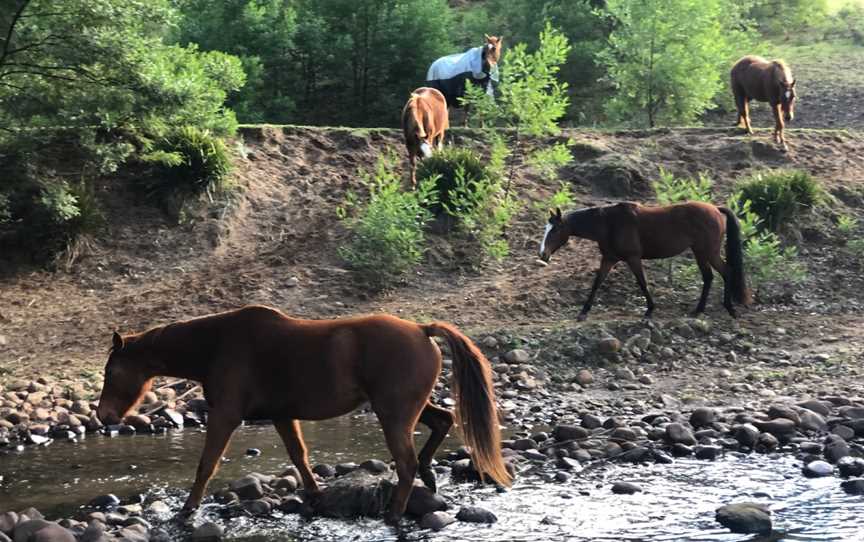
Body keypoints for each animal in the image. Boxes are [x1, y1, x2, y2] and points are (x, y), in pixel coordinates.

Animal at [97, 306, 510, 524]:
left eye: (112, 371)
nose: (104, 415)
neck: (218, 345)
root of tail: (423, 330)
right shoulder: (283, 416)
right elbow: (299, 456)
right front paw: (315, 497)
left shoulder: (225, 415)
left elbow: (206, 464)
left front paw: (186, 510)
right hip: (408, 408)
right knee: (442, 422)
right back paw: (429, 477)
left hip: (393, 413)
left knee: (406, 462)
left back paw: (394, 513)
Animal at [540, 204, 748, 324]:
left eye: (555, 229)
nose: (543, 254)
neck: (608, 223)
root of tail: (715, 209)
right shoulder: (609, 259)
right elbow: (597, 283)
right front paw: (583, 312)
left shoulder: (633, 258)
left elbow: (642, 283)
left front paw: (649, 310)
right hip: (702, 253)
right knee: (712, 276)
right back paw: (702, 310)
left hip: (707, 252)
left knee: (725, 273)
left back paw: (727, 308)